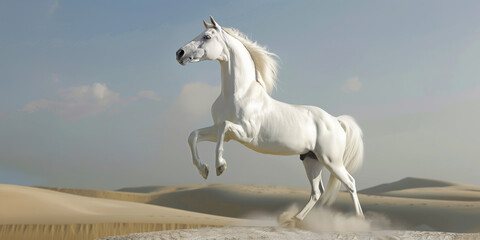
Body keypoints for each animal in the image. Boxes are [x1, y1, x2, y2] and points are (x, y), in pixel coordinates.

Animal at [176, 16, 364, 219]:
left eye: (207, 36)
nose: (180, 53)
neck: (238, 94)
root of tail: (336, 121)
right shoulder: (222, 132)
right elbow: (193, 135)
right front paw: (204, 170)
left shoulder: (245, 133)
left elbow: (224, 127)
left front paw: (220, 167)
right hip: (312, 160)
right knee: (317, 191)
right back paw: (294, 219)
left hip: (332, 161)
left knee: (350, 183)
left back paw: (360, 220)